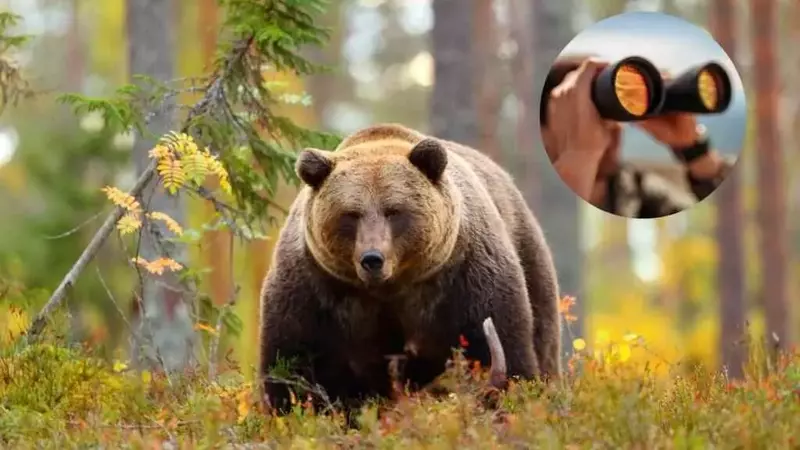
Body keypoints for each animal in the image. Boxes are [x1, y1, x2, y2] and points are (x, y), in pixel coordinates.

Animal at [259, 123, 561, 418]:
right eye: (351, 214)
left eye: (393, 210)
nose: (372, 259)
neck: (390, 288)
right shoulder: (316, 291)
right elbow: (292, 365)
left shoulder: (465, 279)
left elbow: (500, 349)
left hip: (529, 257)